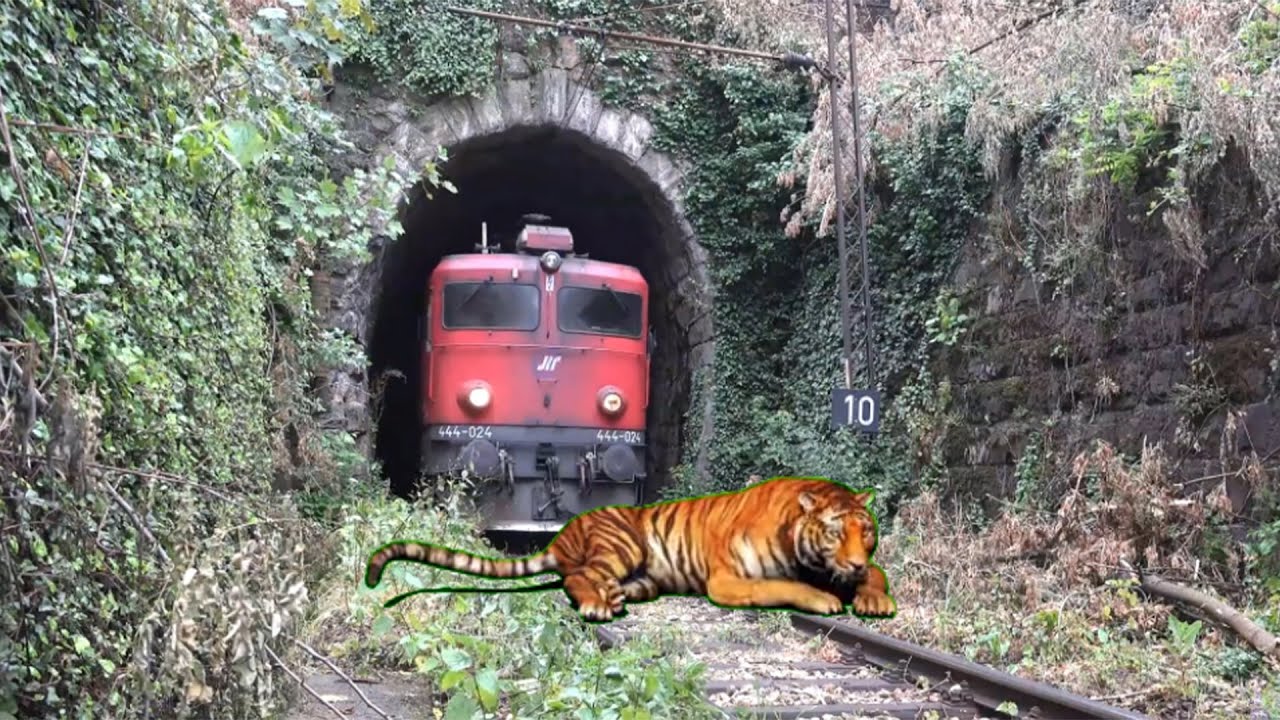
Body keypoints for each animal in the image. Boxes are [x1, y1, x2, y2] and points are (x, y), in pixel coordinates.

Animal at [363, 476, 897, 622]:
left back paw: (614, 598)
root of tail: (566, 531)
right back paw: (599, 606)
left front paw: (873, 597)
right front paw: (825, 600)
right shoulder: (728, 581)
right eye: (835, 532)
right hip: (623, 542)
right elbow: (780, 585)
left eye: (866, 533)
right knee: (577, 577)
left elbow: (877, 573)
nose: (852, 561)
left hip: (645, 574)